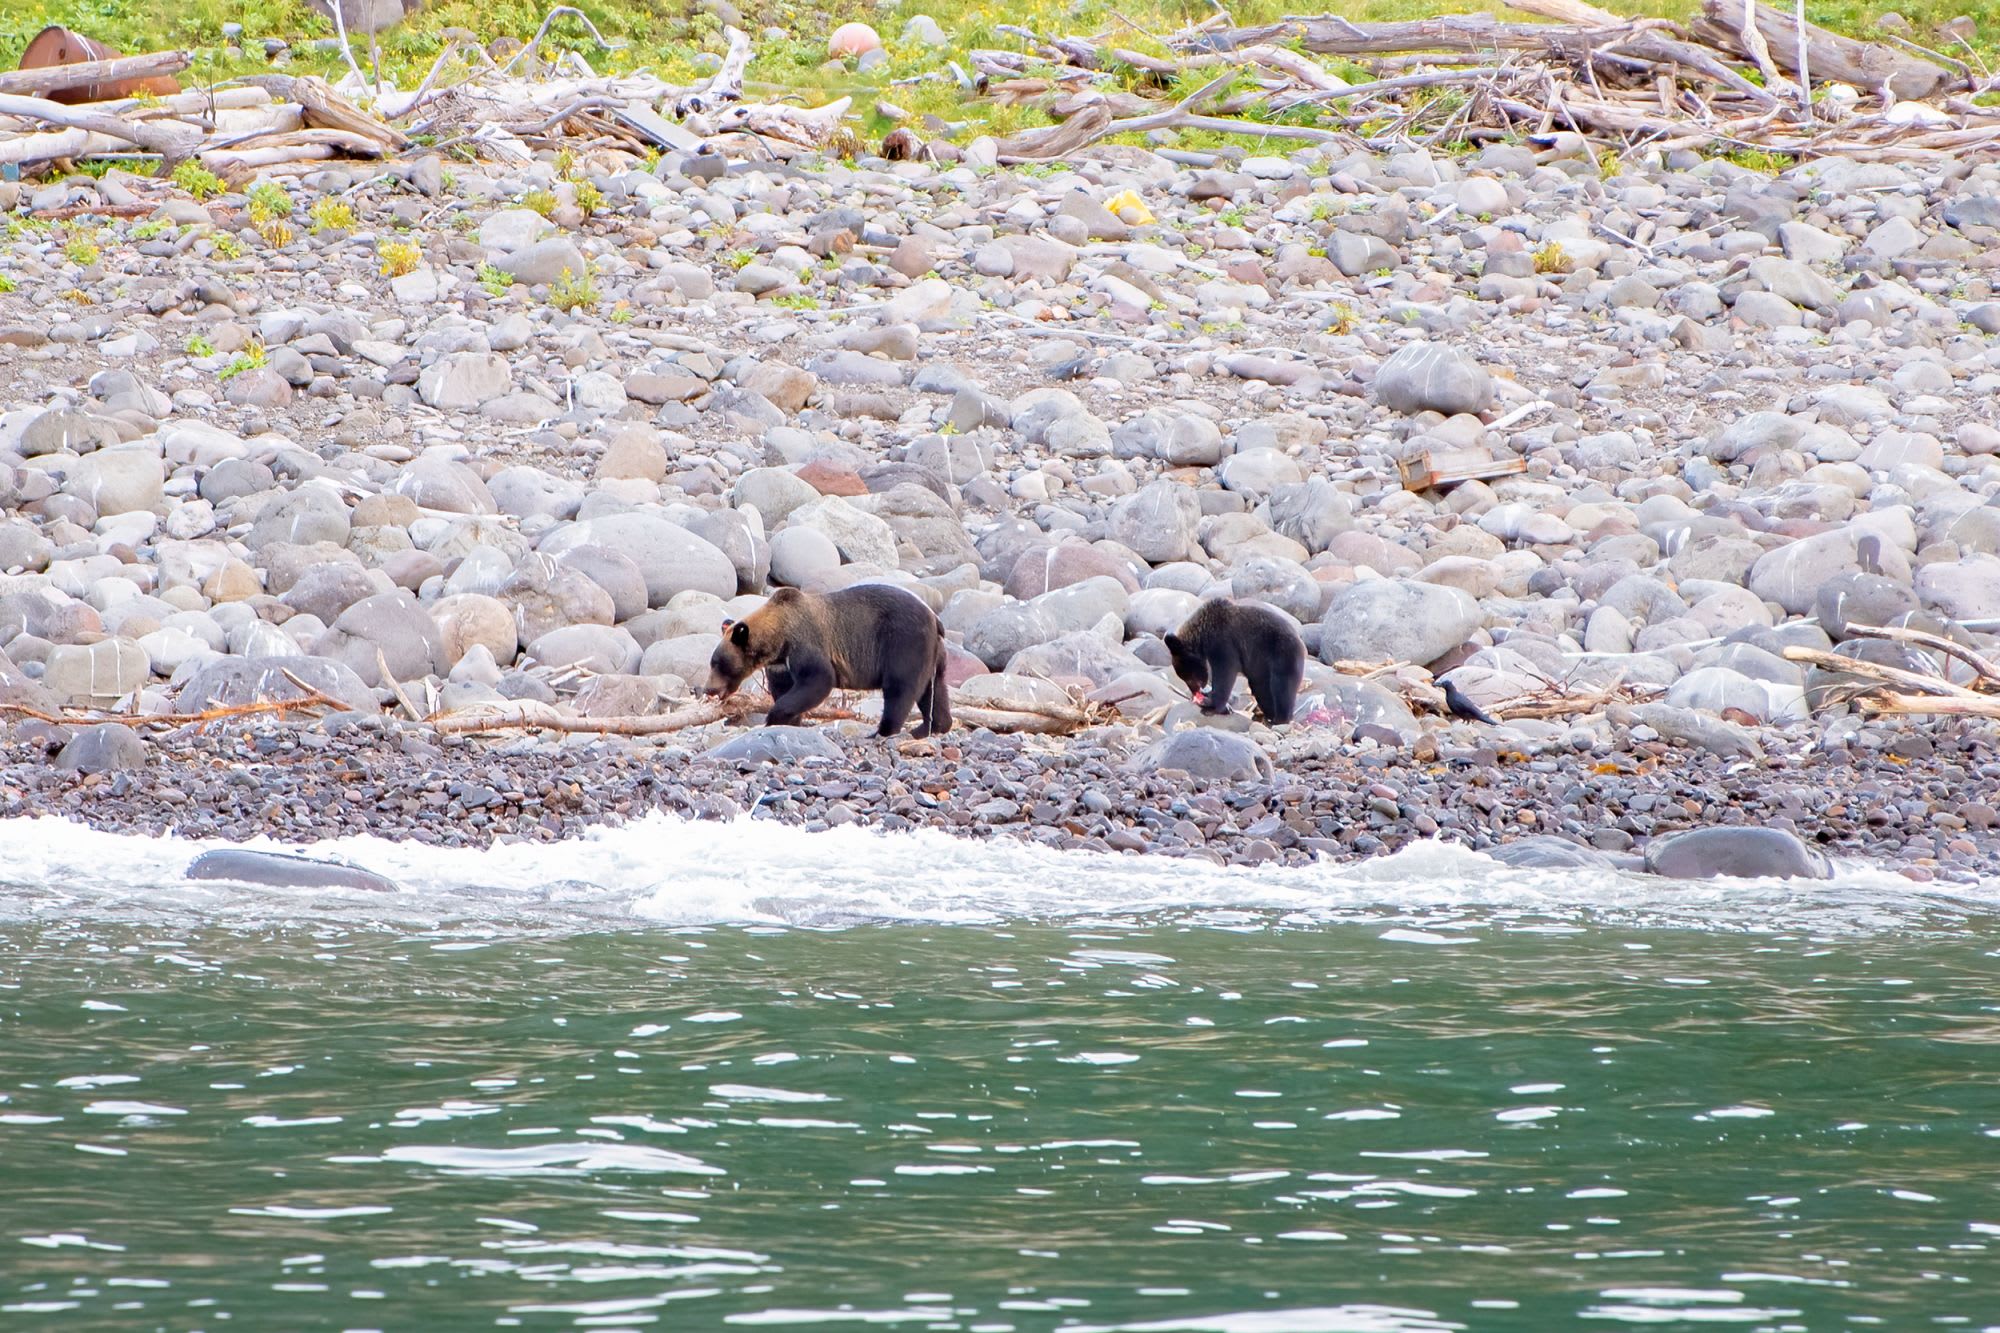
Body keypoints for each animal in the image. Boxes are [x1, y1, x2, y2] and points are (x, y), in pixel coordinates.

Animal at [706, 584, 952, 738]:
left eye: (718, 663)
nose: (708, 688)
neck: (778, 639)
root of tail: (935, 618)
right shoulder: (780, 665)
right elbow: (784, 687)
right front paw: (789, 721)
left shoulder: (805, 643)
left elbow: (818, 679)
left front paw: (775, 716)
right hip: (935, 653)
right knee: (934, 689)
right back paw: (931, 727)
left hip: (904, 642)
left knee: (900, 688)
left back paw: (883, 730)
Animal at [1163, 599, 1306, 725]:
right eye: (1185, 678)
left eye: (1189, 676)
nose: (1195, 692)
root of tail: (1300, 641)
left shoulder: (1224, 643)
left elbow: (1225, 672)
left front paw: (1211, 703)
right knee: (1262, 689)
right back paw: (1269, 715)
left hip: (1282, 654)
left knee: (1282, 686)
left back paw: (1280, 719)